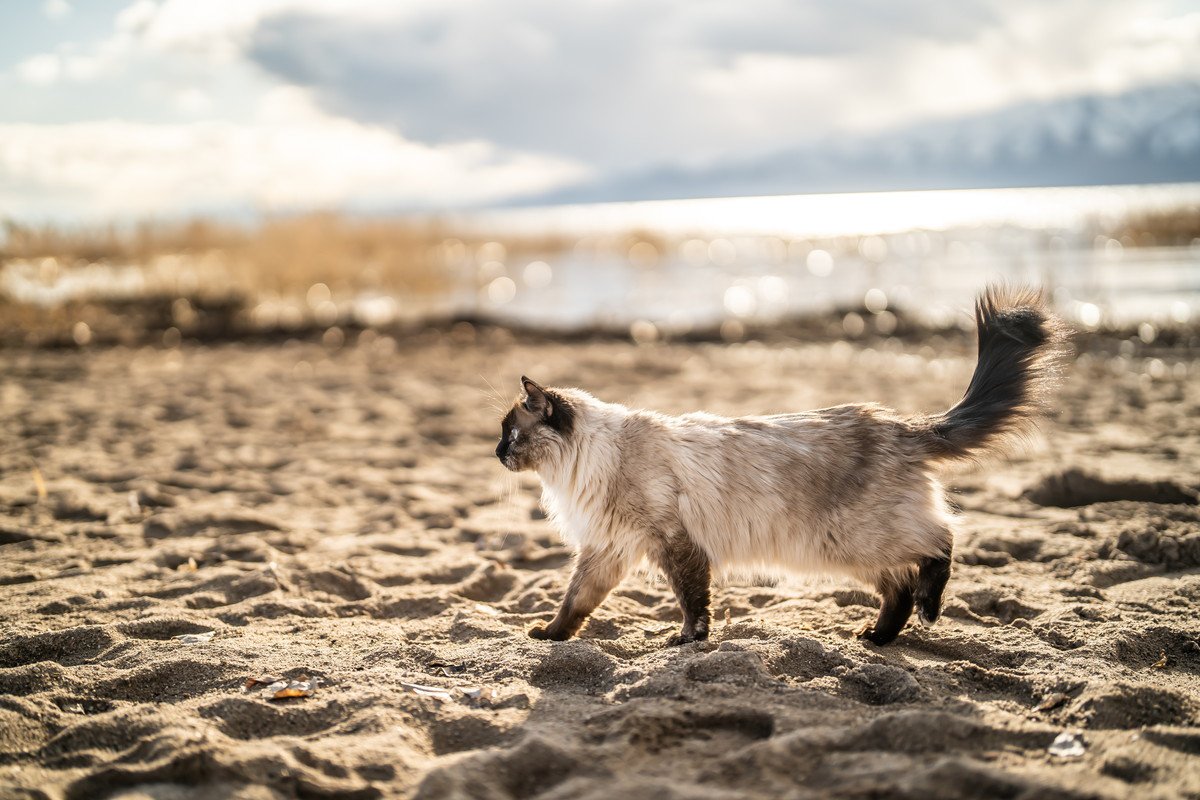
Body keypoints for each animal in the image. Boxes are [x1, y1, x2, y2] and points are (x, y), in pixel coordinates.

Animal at [492, 286, 1065, 642]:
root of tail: (899, 423)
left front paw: (687, 641)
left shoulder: (673, 543)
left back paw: (929, 610)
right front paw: (549, 635)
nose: (496, 453)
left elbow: (692, 601)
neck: (582, 470)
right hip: (849, 551)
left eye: (510, 432)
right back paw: (877, 638)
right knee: (900, 585)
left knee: (942, 541)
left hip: (857, 538)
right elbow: (574, 603)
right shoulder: (607, 550)